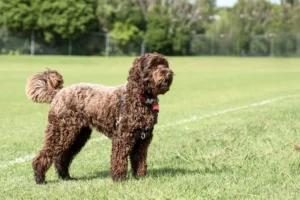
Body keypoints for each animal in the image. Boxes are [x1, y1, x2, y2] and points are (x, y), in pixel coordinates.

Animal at [27, 53, 175, 184]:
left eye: (164, 64)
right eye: (152, 66)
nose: (168, 73)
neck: (140, 98)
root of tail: (58, 93)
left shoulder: (143, 139)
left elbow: (140, 160)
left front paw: (140, 177)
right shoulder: (122, 137)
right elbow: (119, 159)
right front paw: (119, 179)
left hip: (78, 135)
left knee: (62, 158)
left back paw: (66, 177)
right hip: (60, 132)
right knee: (43, 156)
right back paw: (40, 179)